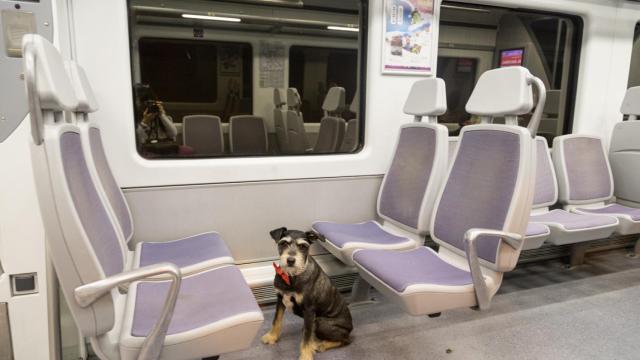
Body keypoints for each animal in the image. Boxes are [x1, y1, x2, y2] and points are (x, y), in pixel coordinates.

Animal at [262, 228, 356, 360]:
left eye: (303, 246)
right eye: (283, 243)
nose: (290, 260)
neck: (292, 276)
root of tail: (350, 328)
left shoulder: (309, 310)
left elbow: (306, 337)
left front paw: (305, 355)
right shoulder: (280, 299)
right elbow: (276, 320)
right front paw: (271, 337)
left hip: (320, 322)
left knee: (346, 340)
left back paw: (322, 345)